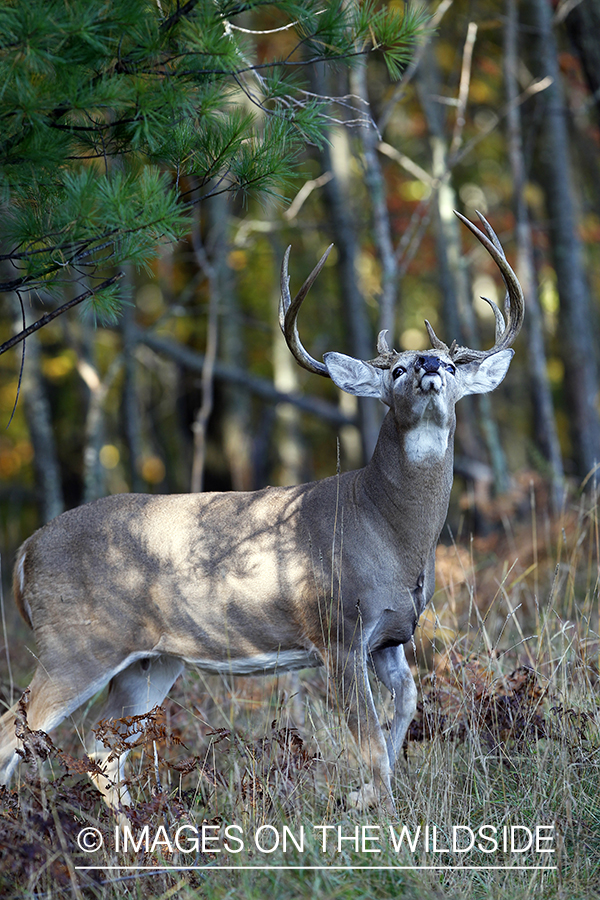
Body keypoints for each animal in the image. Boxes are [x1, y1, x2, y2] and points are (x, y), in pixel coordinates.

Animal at [0, 213, 524, 816]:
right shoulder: (336, 629)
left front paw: (363, 798)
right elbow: (368, 738)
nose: (430, 364)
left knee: (99, 752)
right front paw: (379, 812)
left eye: (457, 364)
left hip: (151, 661)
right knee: (16, 734)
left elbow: (406, 708)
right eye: (394, 370)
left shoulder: (391, 635)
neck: (388, 529)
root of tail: (25, 550)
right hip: (75, 644)